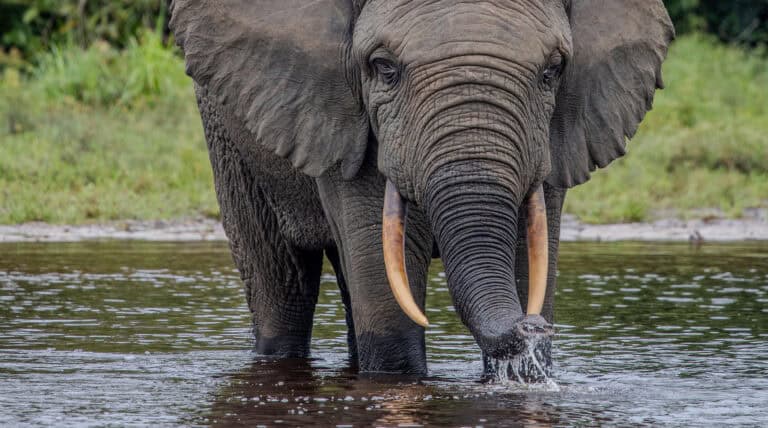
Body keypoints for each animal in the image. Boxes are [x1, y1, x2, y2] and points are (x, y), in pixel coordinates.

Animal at [169, 0, 674, 381]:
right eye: (383, 68)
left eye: (552, 71)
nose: (532, 326)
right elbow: (391, 318)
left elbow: (531, 257)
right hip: (228, 137)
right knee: (282, 290)